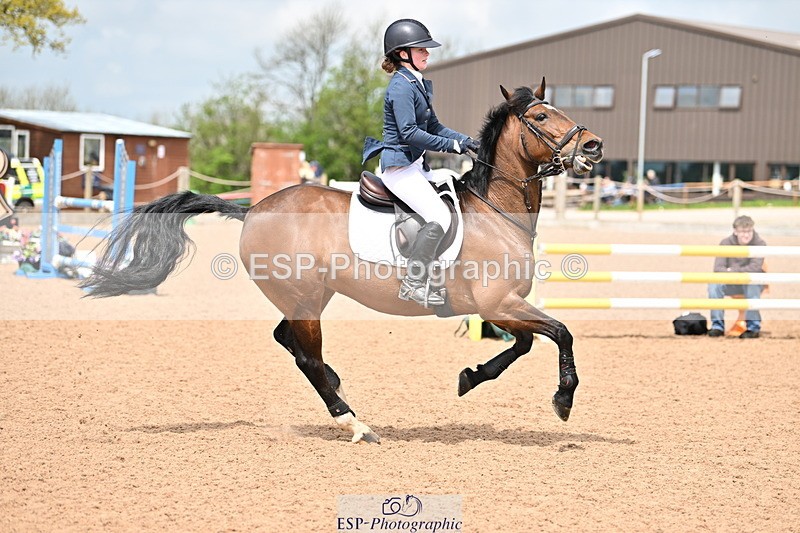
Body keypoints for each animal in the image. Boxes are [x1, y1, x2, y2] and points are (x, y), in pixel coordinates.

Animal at [82, 77, 603, 444]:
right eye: (542, 115)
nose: (592, 145)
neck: (497, 211)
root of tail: (253, 208)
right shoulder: (497, 303)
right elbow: (560, 332)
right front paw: (563, 399)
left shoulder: (499, 306)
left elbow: (525, 344)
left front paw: (470, 378)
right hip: (305, 297)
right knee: (307, 357)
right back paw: (355, 423)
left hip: (311, 295)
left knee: (290, 342)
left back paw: (340, 389)